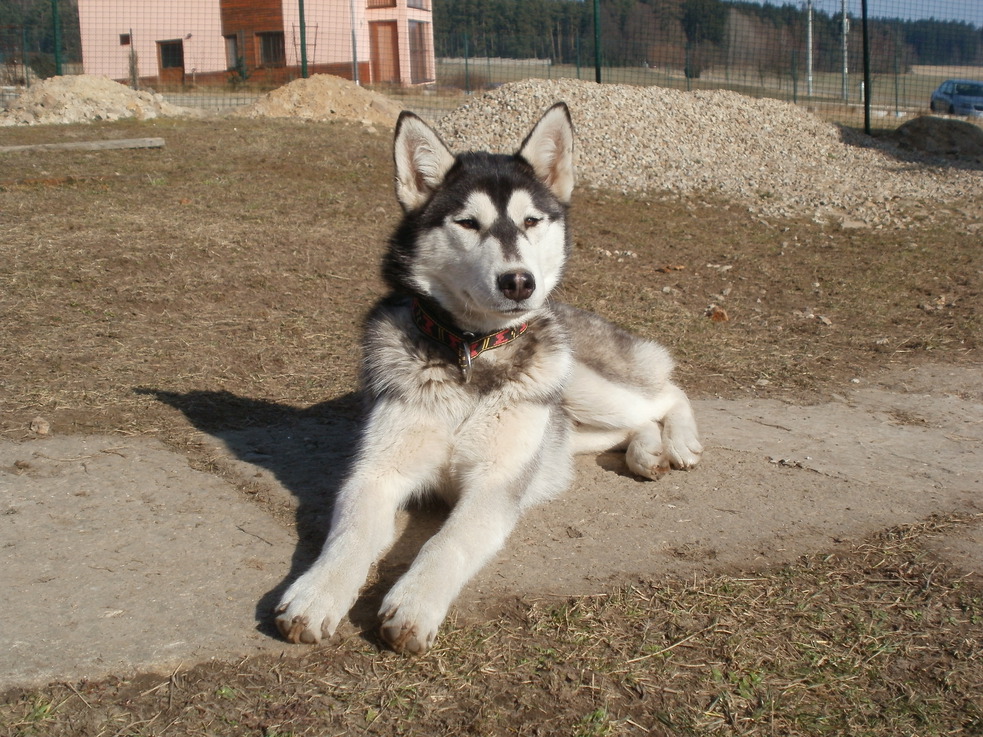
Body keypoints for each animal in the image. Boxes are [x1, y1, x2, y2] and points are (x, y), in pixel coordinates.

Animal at [274, 103, 703, 654]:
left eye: (530, 220)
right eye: (467, 222)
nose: (519, 281)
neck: (470, 354)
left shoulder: (495, 483)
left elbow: (448, 541)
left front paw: (415, 601)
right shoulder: (376, 472)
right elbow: (349, 536)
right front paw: (318, 593)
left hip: (582, 384)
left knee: (666, 393)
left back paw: (680, 443)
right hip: (571, 426)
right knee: (633, 422)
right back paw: (647, 452)